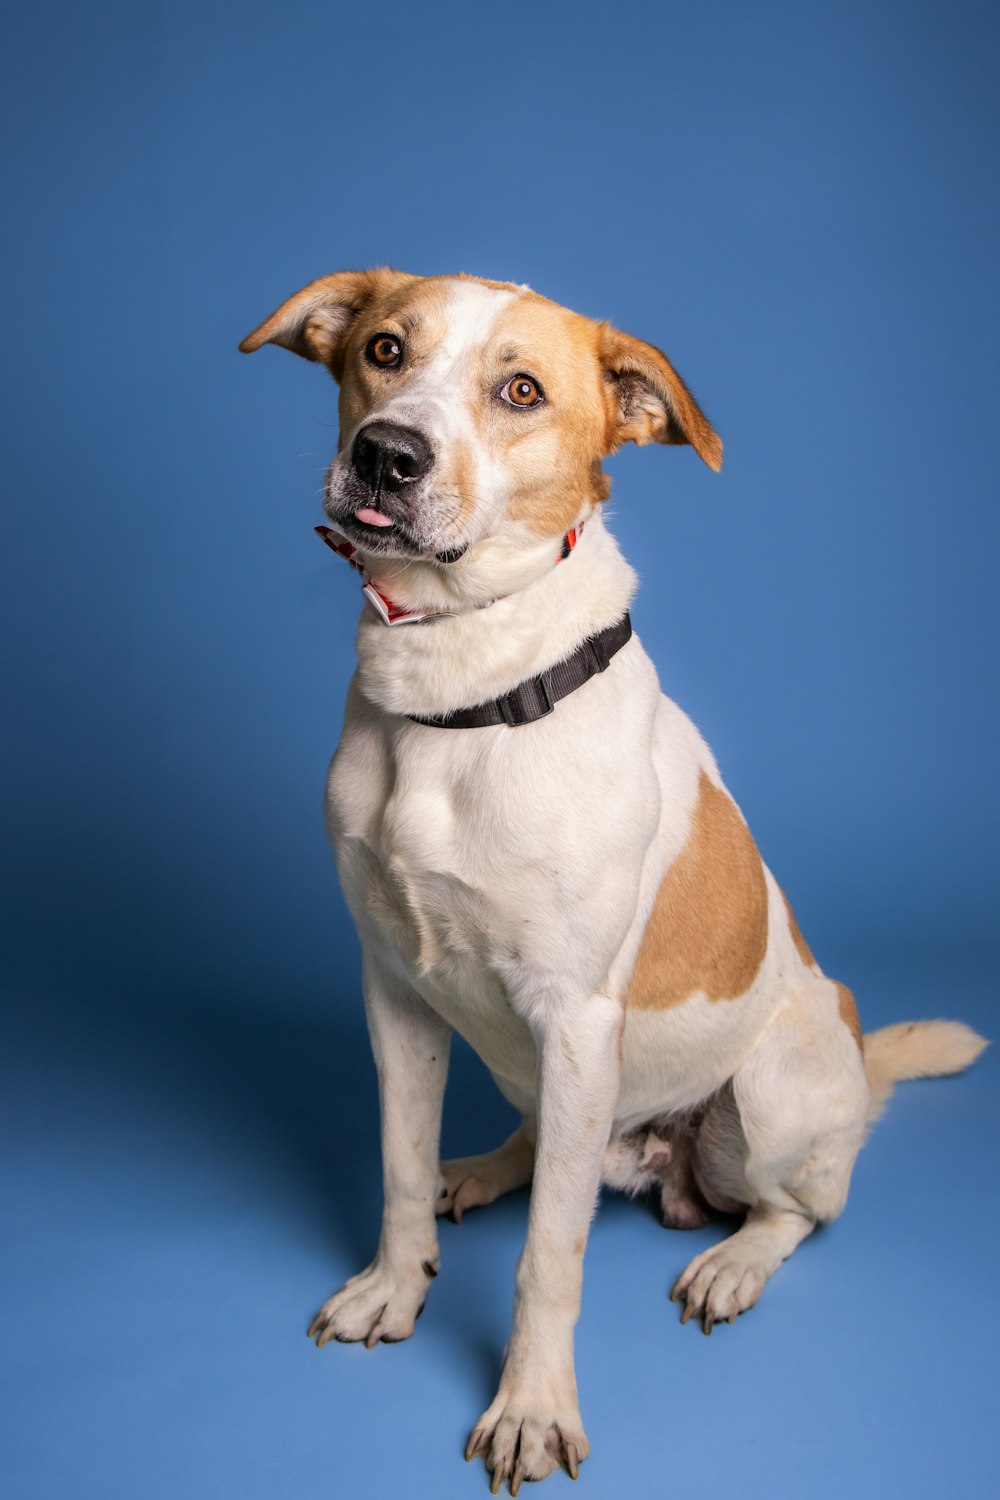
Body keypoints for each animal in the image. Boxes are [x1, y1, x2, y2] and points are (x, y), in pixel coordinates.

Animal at [239, 273, 983, 1500]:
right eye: (385, 351)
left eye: (521, 391)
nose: (386, 454)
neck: (460, 685)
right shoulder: (394, 989)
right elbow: (397, 1165)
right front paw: (396, 1283)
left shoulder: (580, 1019)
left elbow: (553, 1255)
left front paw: (532, 1407)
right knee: (549, 1149)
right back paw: (484, 1169)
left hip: (764, 1094)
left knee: (798, 1206)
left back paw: (734, 1260)